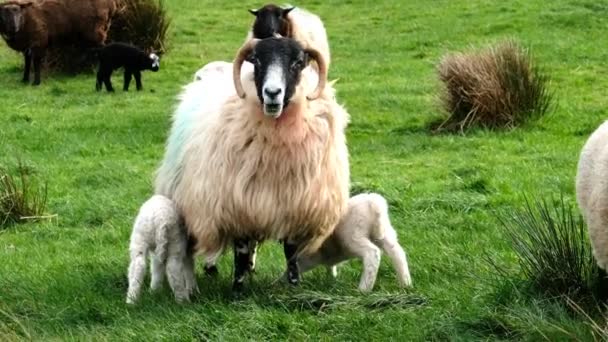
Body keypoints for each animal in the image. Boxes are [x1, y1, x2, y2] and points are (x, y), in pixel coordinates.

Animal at [154, 38, 350, 294]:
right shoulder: (235, 206)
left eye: (298, 62)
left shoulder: (293, 206)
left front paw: (293, 287)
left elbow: (290, 253)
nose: (272, 93)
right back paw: (212, 268)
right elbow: (241, 250)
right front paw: (237, 290)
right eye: (256, 60)